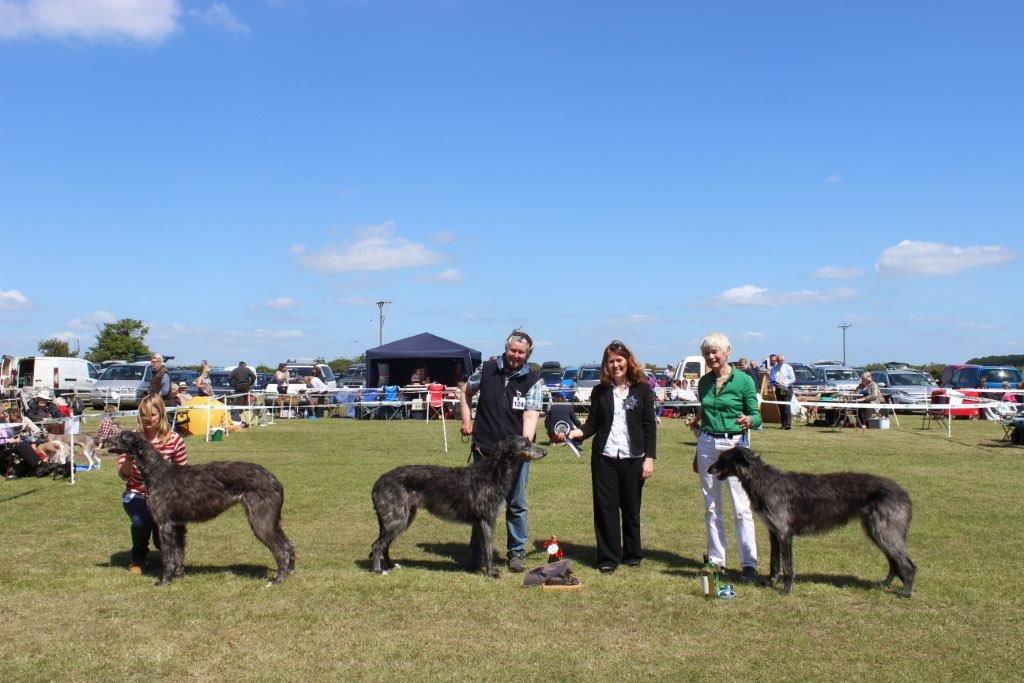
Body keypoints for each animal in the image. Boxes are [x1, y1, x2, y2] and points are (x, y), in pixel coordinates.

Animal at [112, 432, 296, 589]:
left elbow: (168, 556)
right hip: (272, 520)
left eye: (120, 436)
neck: (155, 470)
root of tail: (275, 480)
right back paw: (290, 573)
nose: (105, 440)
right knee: (289, 545)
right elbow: (179, 552)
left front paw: (165, 581)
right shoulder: (178, 525)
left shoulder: (165, 524)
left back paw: (278, 580)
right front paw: (179, 576)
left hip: (261, 521)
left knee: (282, 551)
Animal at [372, 438, 548, 577]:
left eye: (530, 441)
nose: (545, 452)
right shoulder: (485, 519)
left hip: (403, 517)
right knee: (377, 545)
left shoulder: (484, 520)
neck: (494, 473)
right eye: (526, 444)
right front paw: (491, 572)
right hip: (397, 517)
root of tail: (378, 482)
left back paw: (390, 565)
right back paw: (378, 570)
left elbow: (486, 547)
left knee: (385, 544)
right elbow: (488, 548)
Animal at [708, 446, 917, 593]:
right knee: (894, 562)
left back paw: (906, 592)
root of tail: (904, 493)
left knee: (908, 564)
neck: (763, 481)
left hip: (884, 531)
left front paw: (786, 589)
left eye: (722, 458)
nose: (709, 469)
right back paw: (885, 584)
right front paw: (770, 582)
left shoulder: (784, 533)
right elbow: (774, 563)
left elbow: (787, 565)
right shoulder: (773, 532)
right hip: (876, 530)